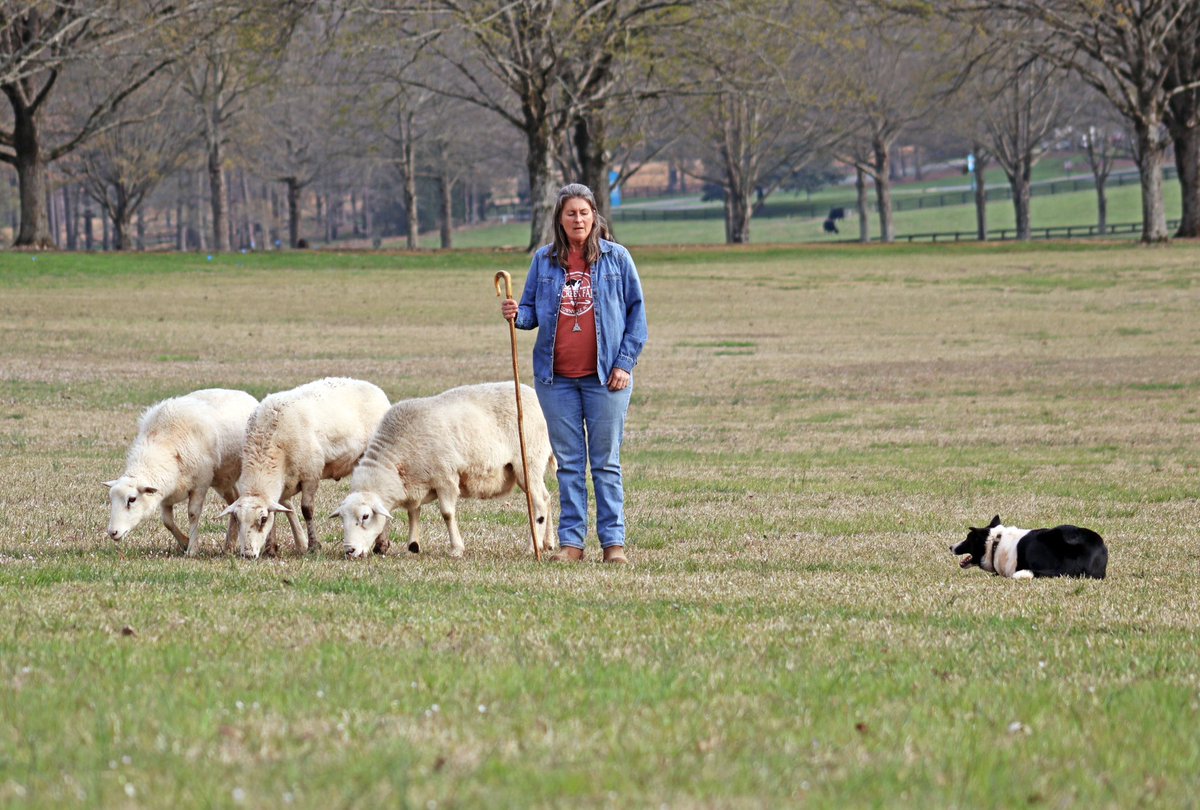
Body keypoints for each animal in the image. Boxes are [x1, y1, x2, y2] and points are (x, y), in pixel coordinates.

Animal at [104, 388, 258, 556]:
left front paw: (192, 549)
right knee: (234, 502)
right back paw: (229, 546)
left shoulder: (200, 484)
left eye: (131, 499)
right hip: (223, 479)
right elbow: (167, 521)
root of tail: (245, 394)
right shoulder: (165, 492)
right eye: (111, 499)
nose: (112, 532)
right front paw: (184, 542)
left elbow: (192, 514)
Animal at [221, 377, 390, 559]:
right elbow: (278, 510)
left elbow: (307, 510)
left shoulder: (311, 474)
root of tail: (374, 387)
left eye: (262, 519)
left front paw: (314, 546)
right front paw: (271, 549)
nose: (248, 554)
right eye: (237, 519)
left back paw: (381, 545)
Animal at [331, 381, 556, 559]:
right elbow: (414, 511)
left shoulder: (445, 477)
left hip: (529, 462)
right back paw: (548, 543)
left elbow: (447, 513)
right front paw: (413, 545)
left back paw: (532, 547)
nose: (349, 551)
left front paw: (456, 549)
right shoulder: (414, 483)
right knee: (546, 498)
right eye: (342, 518)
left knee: (538, 503)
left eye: (365, 517)